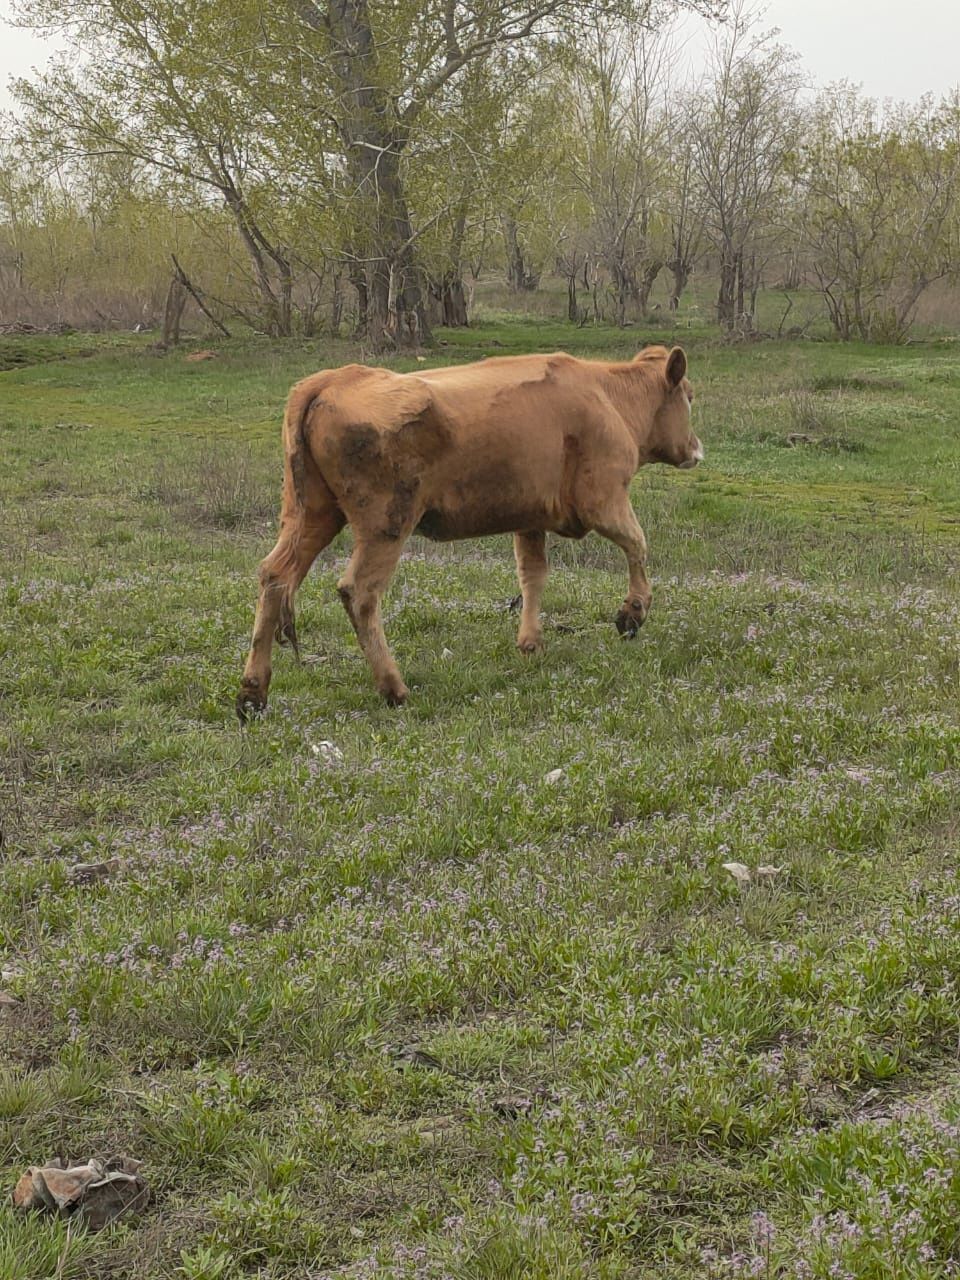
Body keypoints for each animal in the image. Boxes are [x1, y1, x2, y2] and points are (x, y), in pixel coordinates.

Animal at [236, 343, 701, 721]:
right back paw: (394, 688)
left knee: (274, 577)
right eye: (689, 395)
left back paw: (252, 695)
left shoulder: (530, 519)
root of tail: (331, 380)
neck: (608, 395)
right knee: (360, 592)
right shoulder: (604, 501)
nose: (697, 449)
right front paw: (632, 613)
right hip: (385, 527)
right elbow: (637, 544)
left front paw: (530, 642)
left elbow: (532, 576)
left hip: (311, 517)